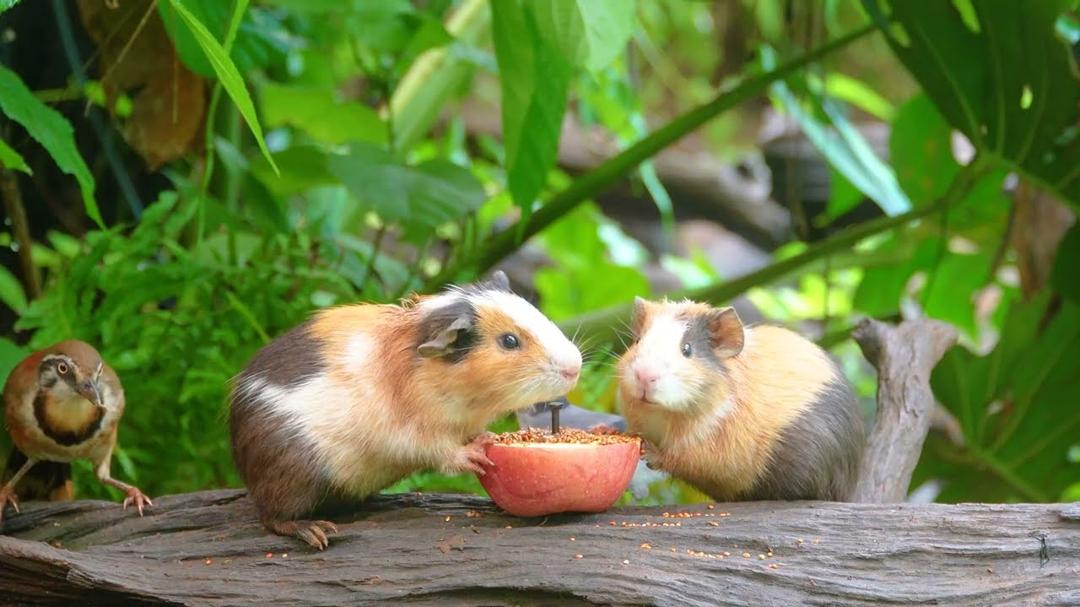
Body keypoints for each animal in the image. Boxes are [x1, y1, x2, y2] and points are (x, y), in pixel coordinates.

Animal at [229, 271, 582, 548]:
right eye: (509, 341)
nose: (575, 367)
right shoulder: (412, 436)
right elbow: (441, 452)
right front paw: (479, 450)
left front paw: (488, 437)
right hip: (293, 477)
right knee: (274, 518)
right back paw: (317, 532)